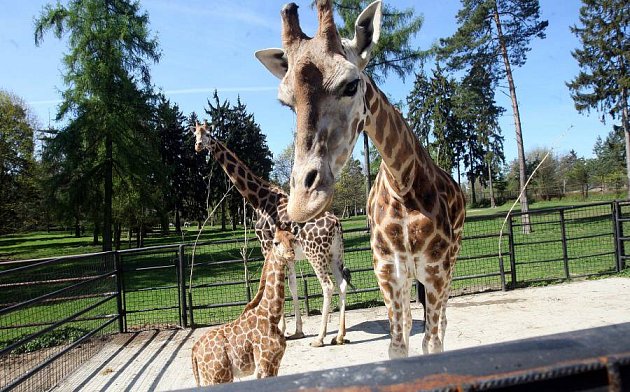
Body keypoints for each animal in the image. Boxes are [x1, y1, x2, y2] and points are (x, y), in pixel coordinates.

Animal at [191, 227, 298, 386]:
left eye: (293, 239)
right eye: (276, 242)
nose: (291, 254)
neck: (271, 316)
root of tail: (195, 350)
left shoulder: (275, 363)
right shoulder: (264, 364)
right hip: (219, 377)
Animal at [193, 123, 350, 346]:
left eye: (207, 134)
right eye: (194, 134)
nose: (198, 146)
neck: (258, 200)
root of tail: (336, 223)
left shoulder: (266, 246)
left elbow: (274, 281)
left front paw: (280, 329)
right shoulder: (287, 254)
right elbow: (292, 286)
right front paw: (296, 331)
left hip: (315, 253)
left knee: (327, 286)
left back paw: (320, 338)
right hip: (335, 254)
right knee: (342, 284)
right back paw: (339, 335)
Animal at [254, 0, 466, 358]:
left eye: (351, 85)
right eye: (287, 102)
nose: (303, 202)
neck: (402, 184)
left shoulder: (436, 271)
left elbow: (432, 343)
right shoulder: (387, 272)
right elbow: (398, 345)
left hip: (446, 268)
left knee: (440, 327)